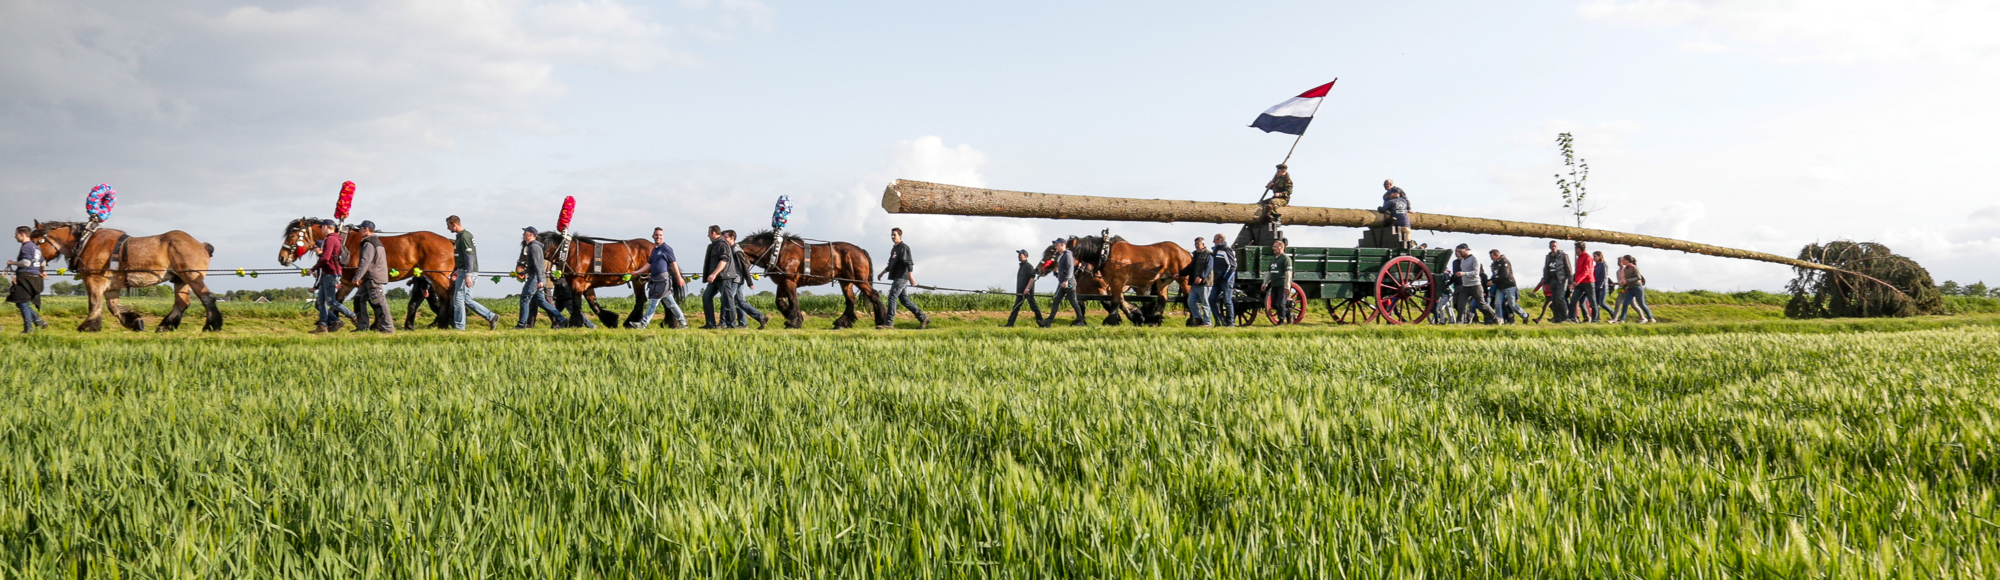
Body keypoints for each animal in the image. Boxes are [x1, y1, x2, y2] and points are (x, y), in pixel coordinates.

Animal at [31, 221, 223, 330]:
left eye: (35, 242)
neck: (85, 242)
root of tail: (201, 244)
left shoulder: (95, 281)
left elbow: (94, 304)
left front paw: (88, 326)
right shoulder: (111, 286)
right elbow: (113, 307)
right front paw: (135, 322)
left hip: (192, 277)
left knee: (207, 298)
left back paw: (211, 325)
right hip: (181, 280)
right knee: (181, 303)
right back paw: (165, 326)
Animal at [278, 218, 454, 328]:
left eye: (292, 235)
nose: (281, 257)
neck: (345, 243)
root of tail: (448, 241)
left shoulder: (361, 281)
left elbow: (371, 302)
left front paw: (374, 324)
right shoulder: (348, 283)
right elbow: (336, 302)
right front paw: (334, 323)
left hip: (438, 275)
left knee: (448, 293)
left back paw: (446, 322)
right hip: (435, 276)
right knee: (443, 296)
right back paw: (441, 323)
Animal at [736, 231, 884, 330]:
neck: (777, 252)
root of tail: (860, 250)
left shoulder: (789, 281)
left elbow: (793, 300)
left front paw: (793, 322)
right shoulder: (782, 282)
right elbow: (780, 302)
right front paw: (793, 319)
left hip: (860, 280)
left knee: (873, 295)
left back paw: (881, 321)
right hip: (846, 281)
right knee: (851, 300)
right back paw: (841, 323)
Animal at [1032, 234, 1184, 326]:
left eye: (1050, 253)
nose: (1037, 270)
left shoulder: (1104, 288)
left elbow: (1108, 303)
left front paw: (1125, 317)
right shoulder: (1082, 291)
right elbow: (1080, 305)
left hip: (1140, 286)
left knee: (1148, 302)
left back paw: (1149, 318)